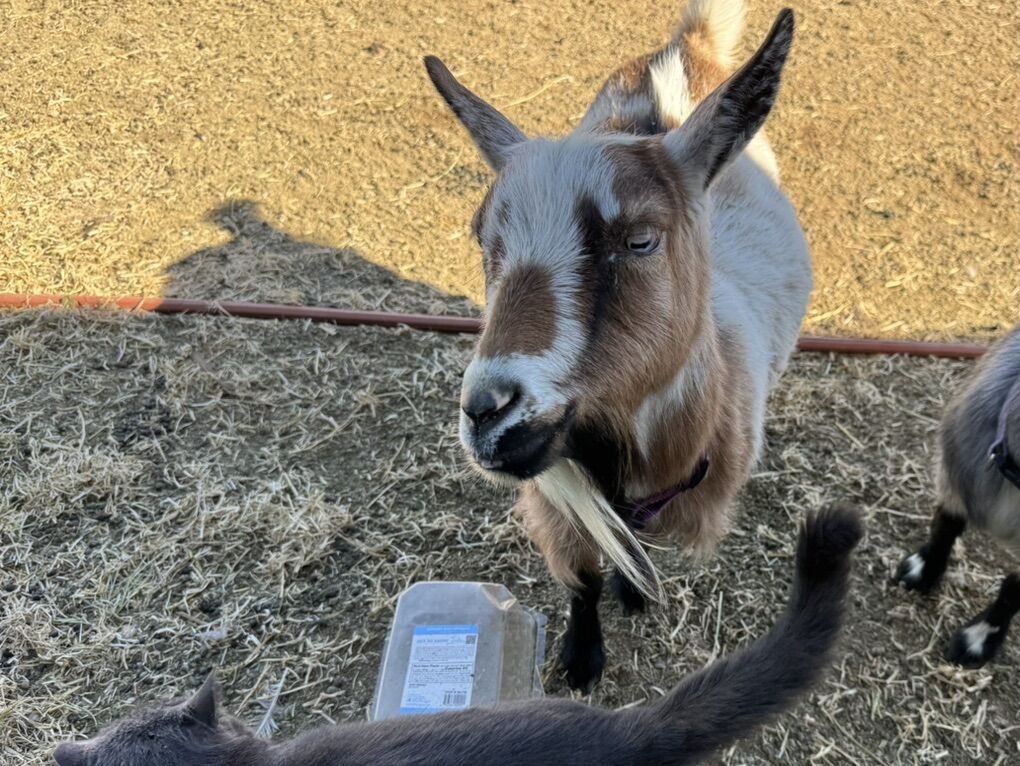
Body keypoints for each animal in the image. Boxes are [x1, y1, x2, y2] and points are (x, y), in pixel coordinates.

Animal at [425, 0, 812, 690]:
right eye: (482, 238)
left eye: (640, 239)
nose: (487, 413)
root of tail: (686, 49)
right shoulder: (556, 506)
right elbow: (583, 578)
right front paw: (582, 660)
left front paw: (634, 594)